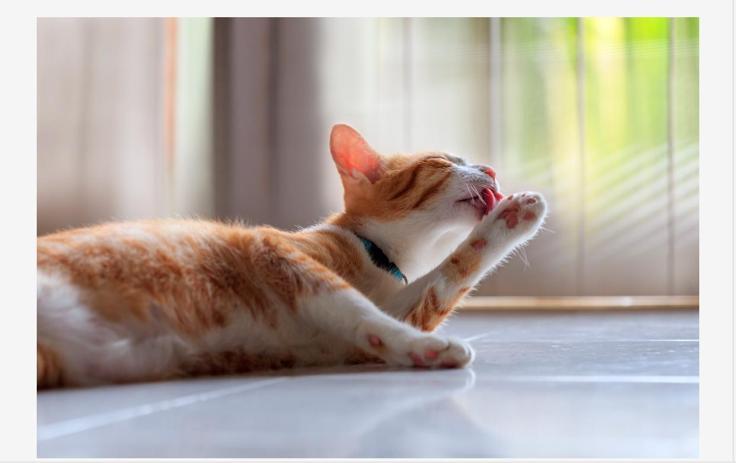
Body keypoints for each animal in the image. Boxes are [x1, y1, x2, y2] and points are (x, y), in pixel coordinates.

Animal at [37, 124, 547, 388]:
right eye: (442, 162)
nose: (490, 169)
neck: (376, 257)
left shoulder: (378, 320)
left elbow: (447, 277)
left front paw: (511, 218)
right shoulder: (276, 253)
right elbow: (359, 309)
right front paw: (427, 347)